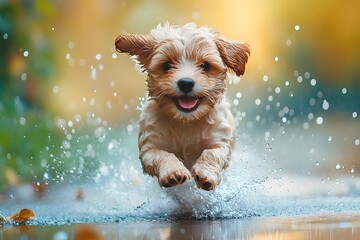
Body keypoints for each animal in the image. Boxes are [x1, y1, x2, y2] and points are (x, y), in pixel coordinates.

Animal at [115, 23, 250, 191]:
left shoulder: (220, 141)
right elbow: (163, 155)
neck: (186, 122)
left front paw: (205, 174)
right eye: (166, 65)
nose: (186, 83)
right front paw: (173, 173)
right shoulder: (149, 147)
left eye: (205, 65)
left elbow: (211, 153)